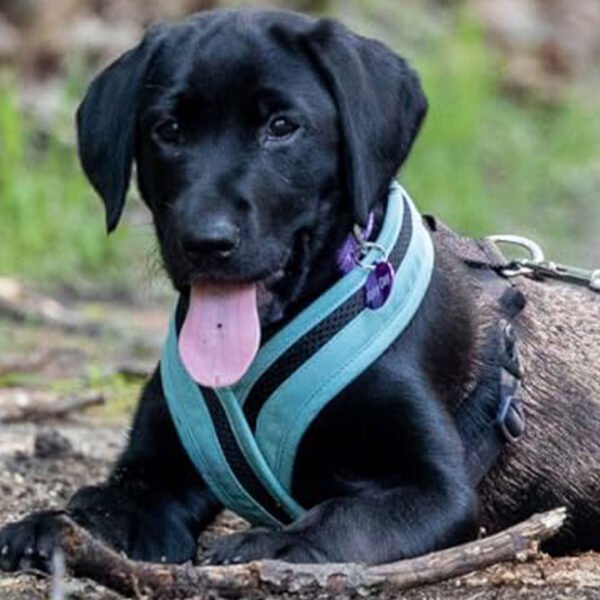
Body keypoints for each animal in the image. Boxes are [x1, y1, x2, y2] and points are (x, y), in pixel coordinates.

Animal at [0, 9, 592, 568]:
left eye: (281, 126)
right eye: (167, 129)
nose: (205, 241)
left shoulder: (432, 489)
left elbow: (342, 518)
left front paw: (274, 544)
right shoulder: (155, 472)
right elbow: (103, 503)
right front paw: (52, 524)